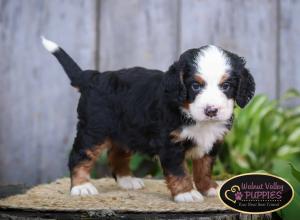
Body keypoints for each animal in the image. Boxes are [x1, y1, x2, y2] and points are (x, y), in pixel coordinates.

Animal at [41, 36, 254, 203]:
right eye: (195, 86)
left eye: (226, 85)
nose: (211, 110)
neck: (191, 114)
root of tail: (93, 77)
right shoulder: (170, 143)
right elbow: (179, 170)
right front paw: (186, 193)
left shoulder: (212, 142)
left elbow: (204, 167)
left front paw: (208, 187)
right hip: (95, 130)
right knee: (80, 156)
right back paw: (81, 187)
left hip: (125, 132)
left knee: (116, 155)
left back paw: (127, 180)